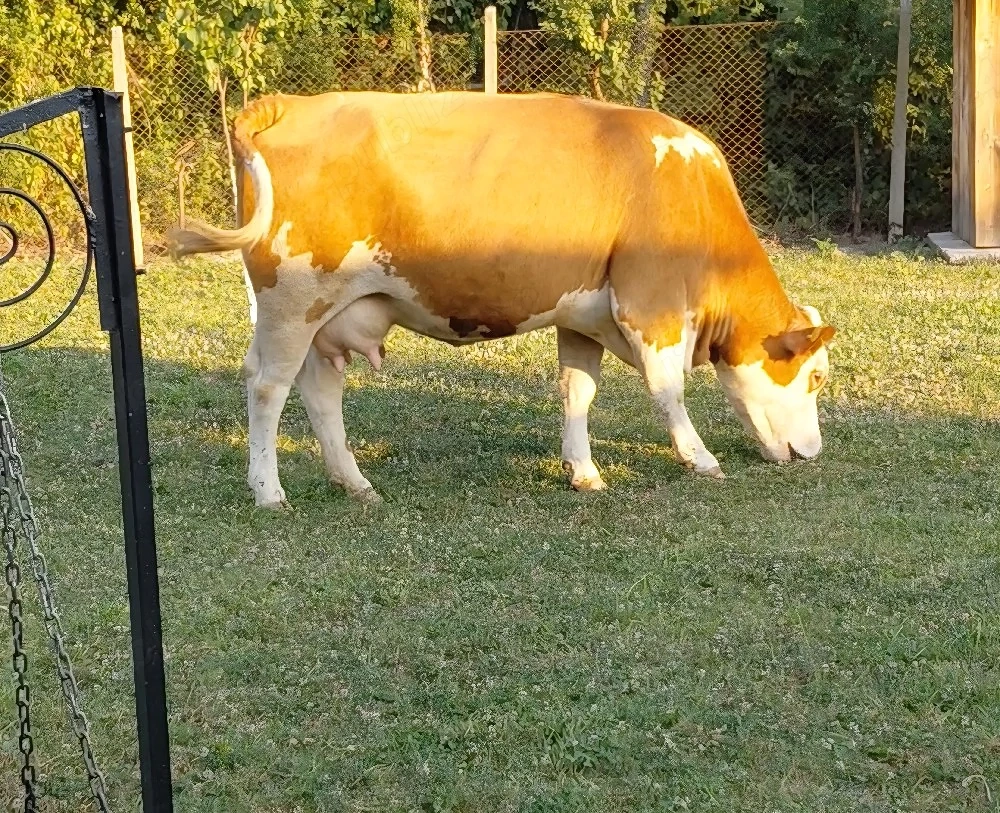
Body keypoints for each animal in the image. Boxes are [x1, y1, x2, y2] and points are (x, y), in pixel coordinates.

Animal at [166, 90, 836, 509]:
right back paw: (268, 490)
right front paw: (699, 458)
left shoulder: (581, 316)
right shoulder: (651, 306)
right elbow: (667, 391)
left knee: (320, 389)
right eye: (815, 376)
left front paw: (583, 471)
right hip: (291, 299)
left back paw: (354, 482)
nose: (814, 453)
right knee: (266, 386)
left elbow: (577, 392)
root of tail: (292, 103)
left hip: (321, 312)